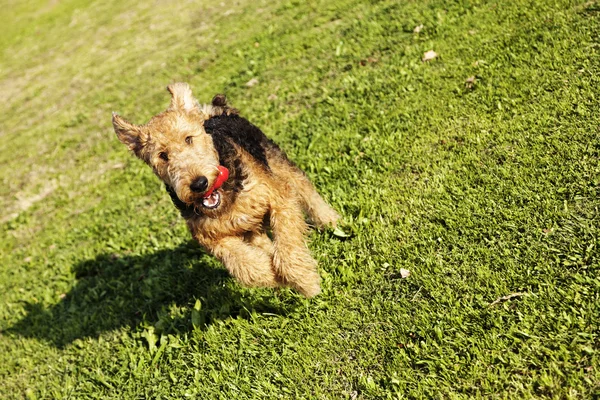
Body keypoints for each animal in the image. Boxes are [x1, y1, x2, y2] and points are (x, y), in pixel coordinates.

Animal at [111, 83, 338, 296]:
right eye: (162, 155)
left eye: (188, 138)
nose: (199, 184)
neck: (228, 199)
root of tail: (214, 113)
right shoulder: (212, 238)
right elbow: (244, 266)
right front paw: (274, 276)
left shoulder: (279, 198)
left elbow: (287, 246)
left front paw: (305, 282)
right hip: (250, 227)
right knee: (260, 242)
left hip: (275, 161)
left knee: (305, 189)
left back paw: (331, 221)